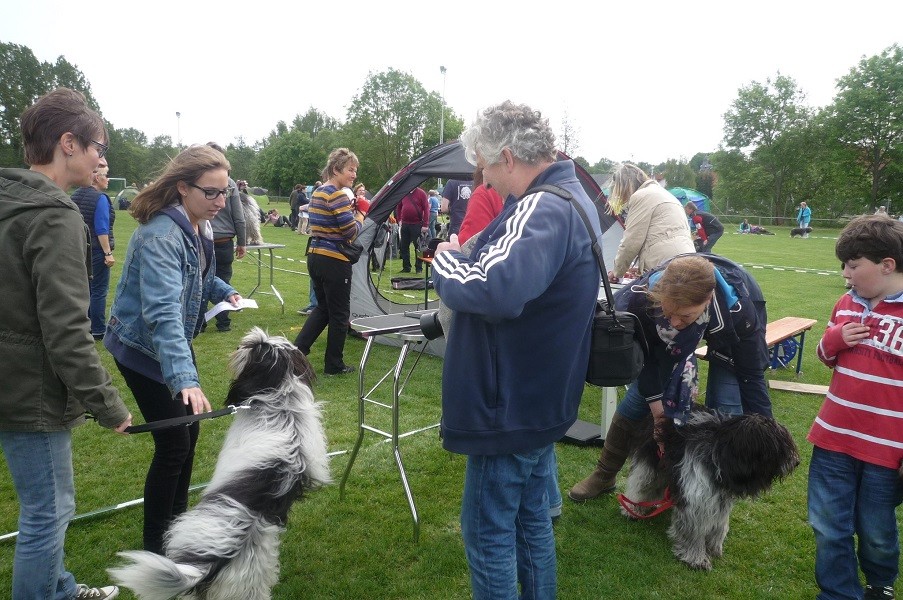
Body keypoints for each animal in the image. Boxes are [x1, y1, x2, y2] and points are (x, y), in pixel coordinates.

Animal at [620, 408, 800, 572]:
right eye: (780, 447)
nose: (796, 462)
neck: (721, 456)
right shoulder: (696, 497)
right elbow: (694, 530)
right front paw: (696, 558)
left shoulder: (719, 496)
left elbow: (720, 524)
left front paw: (714, 547)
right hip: (651, 463)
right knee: (639, 485)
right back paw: (632, 509)